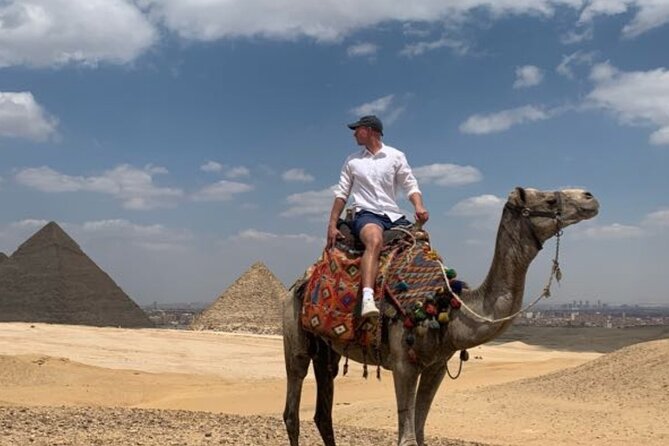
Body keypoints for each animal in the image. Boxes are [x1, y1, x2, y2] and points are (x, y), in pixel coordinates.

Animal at [282, 187, 599, 446]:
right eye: (548, 199)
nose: (590, 197)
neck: (446, 305)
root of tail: (300, 281)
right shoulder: (403, 364)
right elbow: (407, 438)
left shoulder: (436, 366)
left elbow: (421, 432)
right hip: (294, 333)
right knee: (292, 407)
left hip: (328, 351)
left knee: (324, 410)